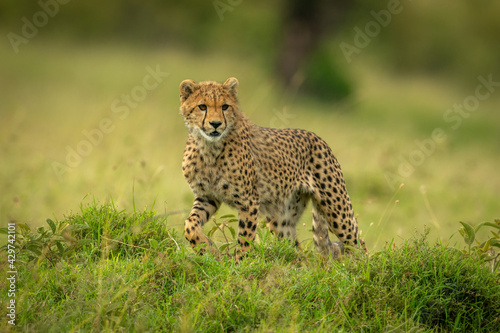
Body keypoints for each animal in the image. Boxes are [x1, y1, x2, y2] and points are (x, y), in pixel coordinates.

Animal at [179, 76, 364, 260]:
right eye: (202, 106)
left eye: (225, 106)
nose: (216, 124)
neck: (209, 148)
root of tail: (317, 137)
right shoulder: (207, 196)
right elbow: (189, 225)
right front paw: (207, 249)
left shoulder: (249, 201)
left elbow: (245, 239)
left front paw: (239, 263)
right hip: (281, 219)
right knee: (297, 251)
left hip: (336, 209)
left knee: (358, 242)